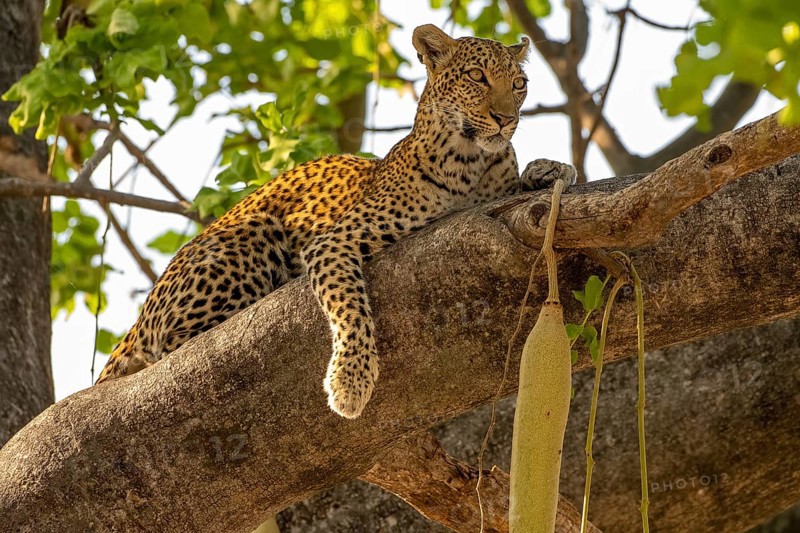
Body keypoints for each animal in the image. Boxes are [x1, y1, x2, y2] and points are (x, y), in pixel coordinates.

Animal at [96, 24, 576, 419]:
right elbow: (350, 307)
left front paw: (550, 168)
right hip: (251, 232)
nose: (507, 119)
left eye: (519, 84)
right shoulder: (334, 240)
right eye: (477, 76)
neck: (473, 164)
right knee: (172, 347)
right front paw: (350, 381)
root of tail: (138, 319)